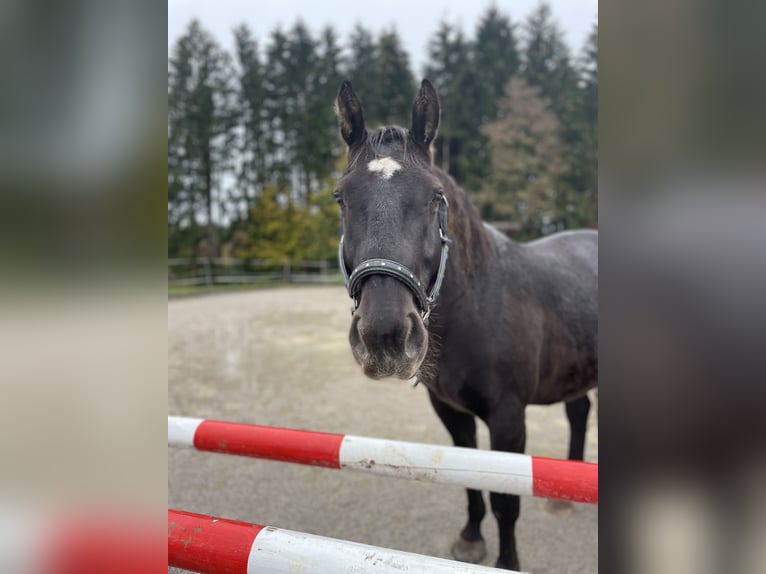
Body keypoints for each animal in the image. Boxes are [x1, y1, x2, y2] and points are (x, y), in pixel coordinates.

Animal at [336, 80, 600, 572]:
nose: (384, 336)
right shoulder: (451, 412)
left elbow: (506, 501)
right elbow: (468, 479)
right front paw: (471, 539)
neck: (476, 304)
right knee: (579, 411)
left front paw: (507, 561)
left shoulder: (508, 418)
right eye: (341, 198)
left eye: (435, 196)